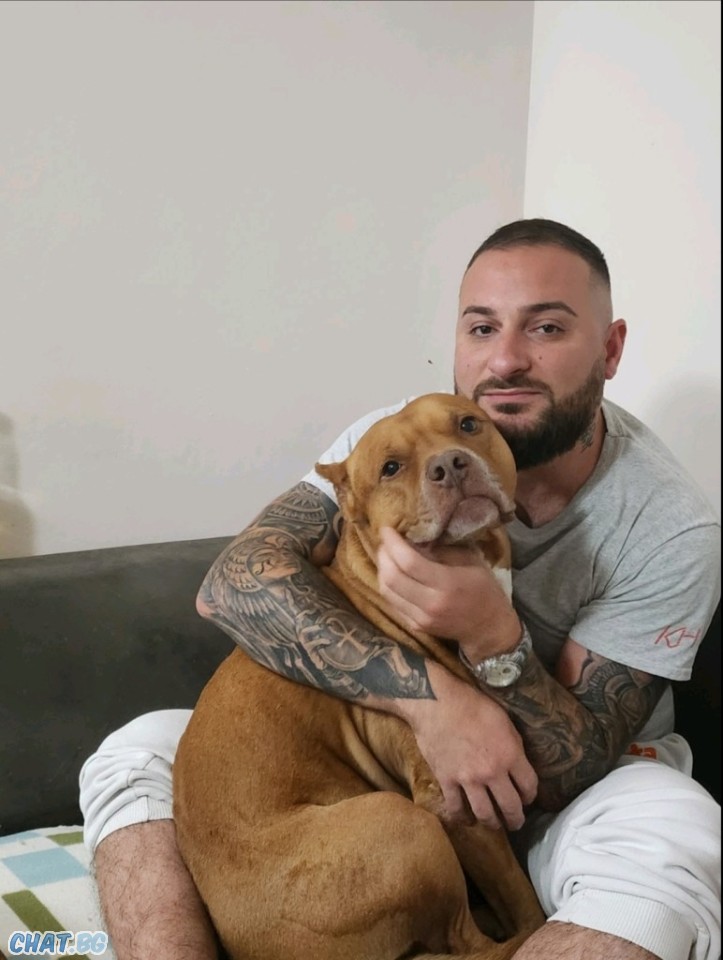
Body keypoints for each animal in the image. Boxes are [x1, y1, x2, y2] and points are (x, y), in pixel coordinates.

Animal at [173, 393, 544, 960]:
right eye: (390, 468)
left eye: (468, 424)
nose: (450, 464)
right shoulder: (459, 803)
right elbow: (521, 894)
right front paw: (535, 917)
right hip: (403, 825)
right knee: (471, 945)